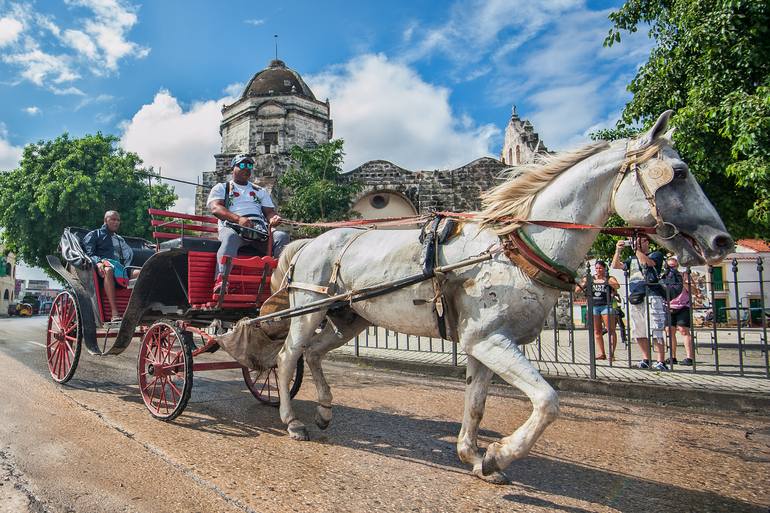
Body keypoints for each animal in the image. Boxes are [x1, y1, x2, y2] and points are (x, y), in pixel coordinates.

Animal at [270, 110, 732, 482]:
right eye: (679, 173)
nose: (722, 241)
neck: (517, 246)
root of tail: (309, 242)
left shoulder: (483, 343)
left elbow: (476, 402)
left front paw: (474, 455)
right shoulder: (490, 340)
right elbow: (547, 401)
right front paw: (499, 455)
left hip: (350, 317)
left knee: (314, 354)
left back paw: (324, 409)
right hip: (308, 308)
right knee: (288, 355)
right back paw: (292, 420)